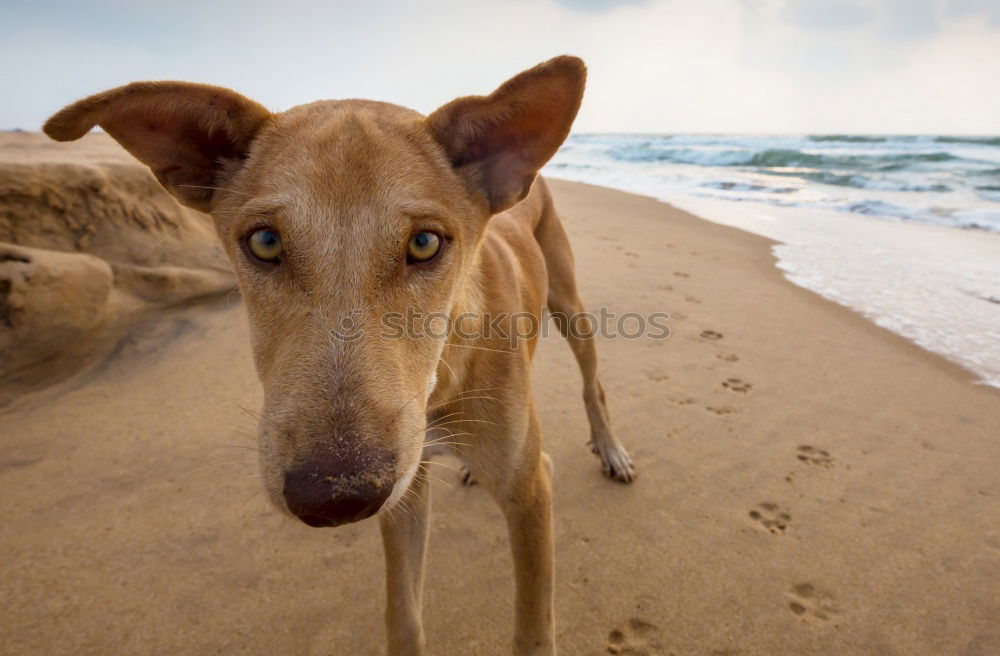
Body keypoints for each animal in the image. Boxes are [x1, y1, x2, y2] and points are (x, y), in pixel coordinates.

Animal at [45, 59, 632, 652]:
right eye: (263, 242)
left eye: (424, 244)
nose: (335, 498)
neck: (440, 380)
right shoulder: (405, 490)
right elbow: (404, 617)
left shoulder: (529, 492)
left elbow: (533, 629)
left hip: (570, 306)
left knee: (594, 384)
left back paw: (611, 449)